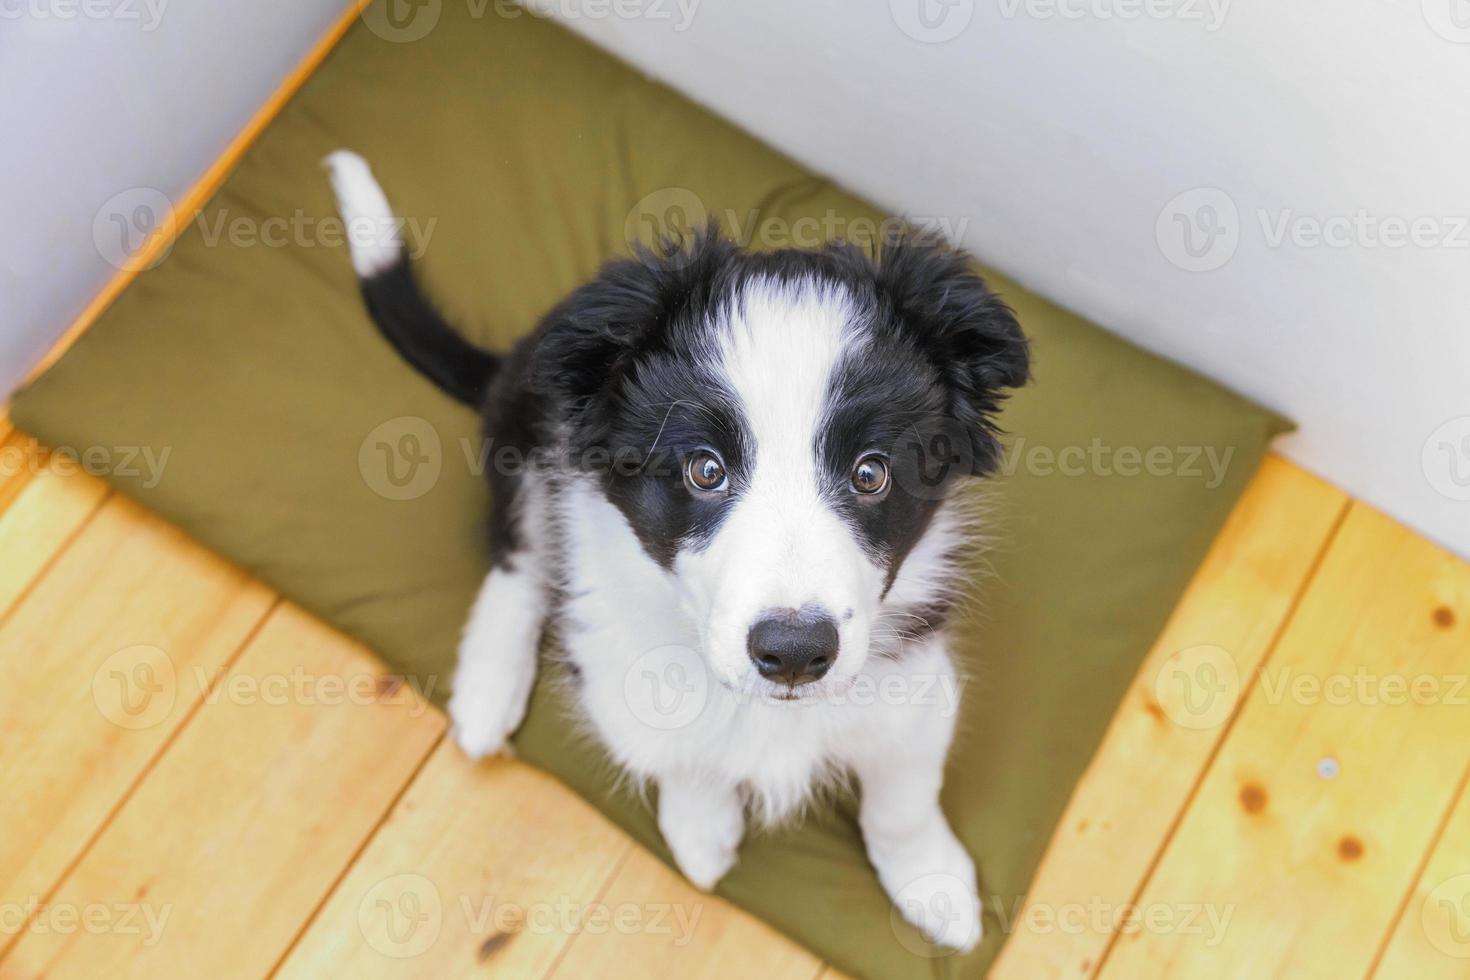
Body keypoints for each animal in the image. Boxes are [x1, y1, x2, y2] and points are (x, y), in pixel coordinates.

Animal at [327, 151, 1029, 952]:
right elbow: (681, 750)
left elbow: (904, 790)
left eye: (871, 473)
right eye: (704, 469)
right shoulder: (619, 665)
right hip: (530, 439)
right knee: (519, 556)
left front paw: (932, 883)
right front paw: (700, 828)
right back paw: (486, 689)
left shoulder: (912, 675)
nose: (794, 653)